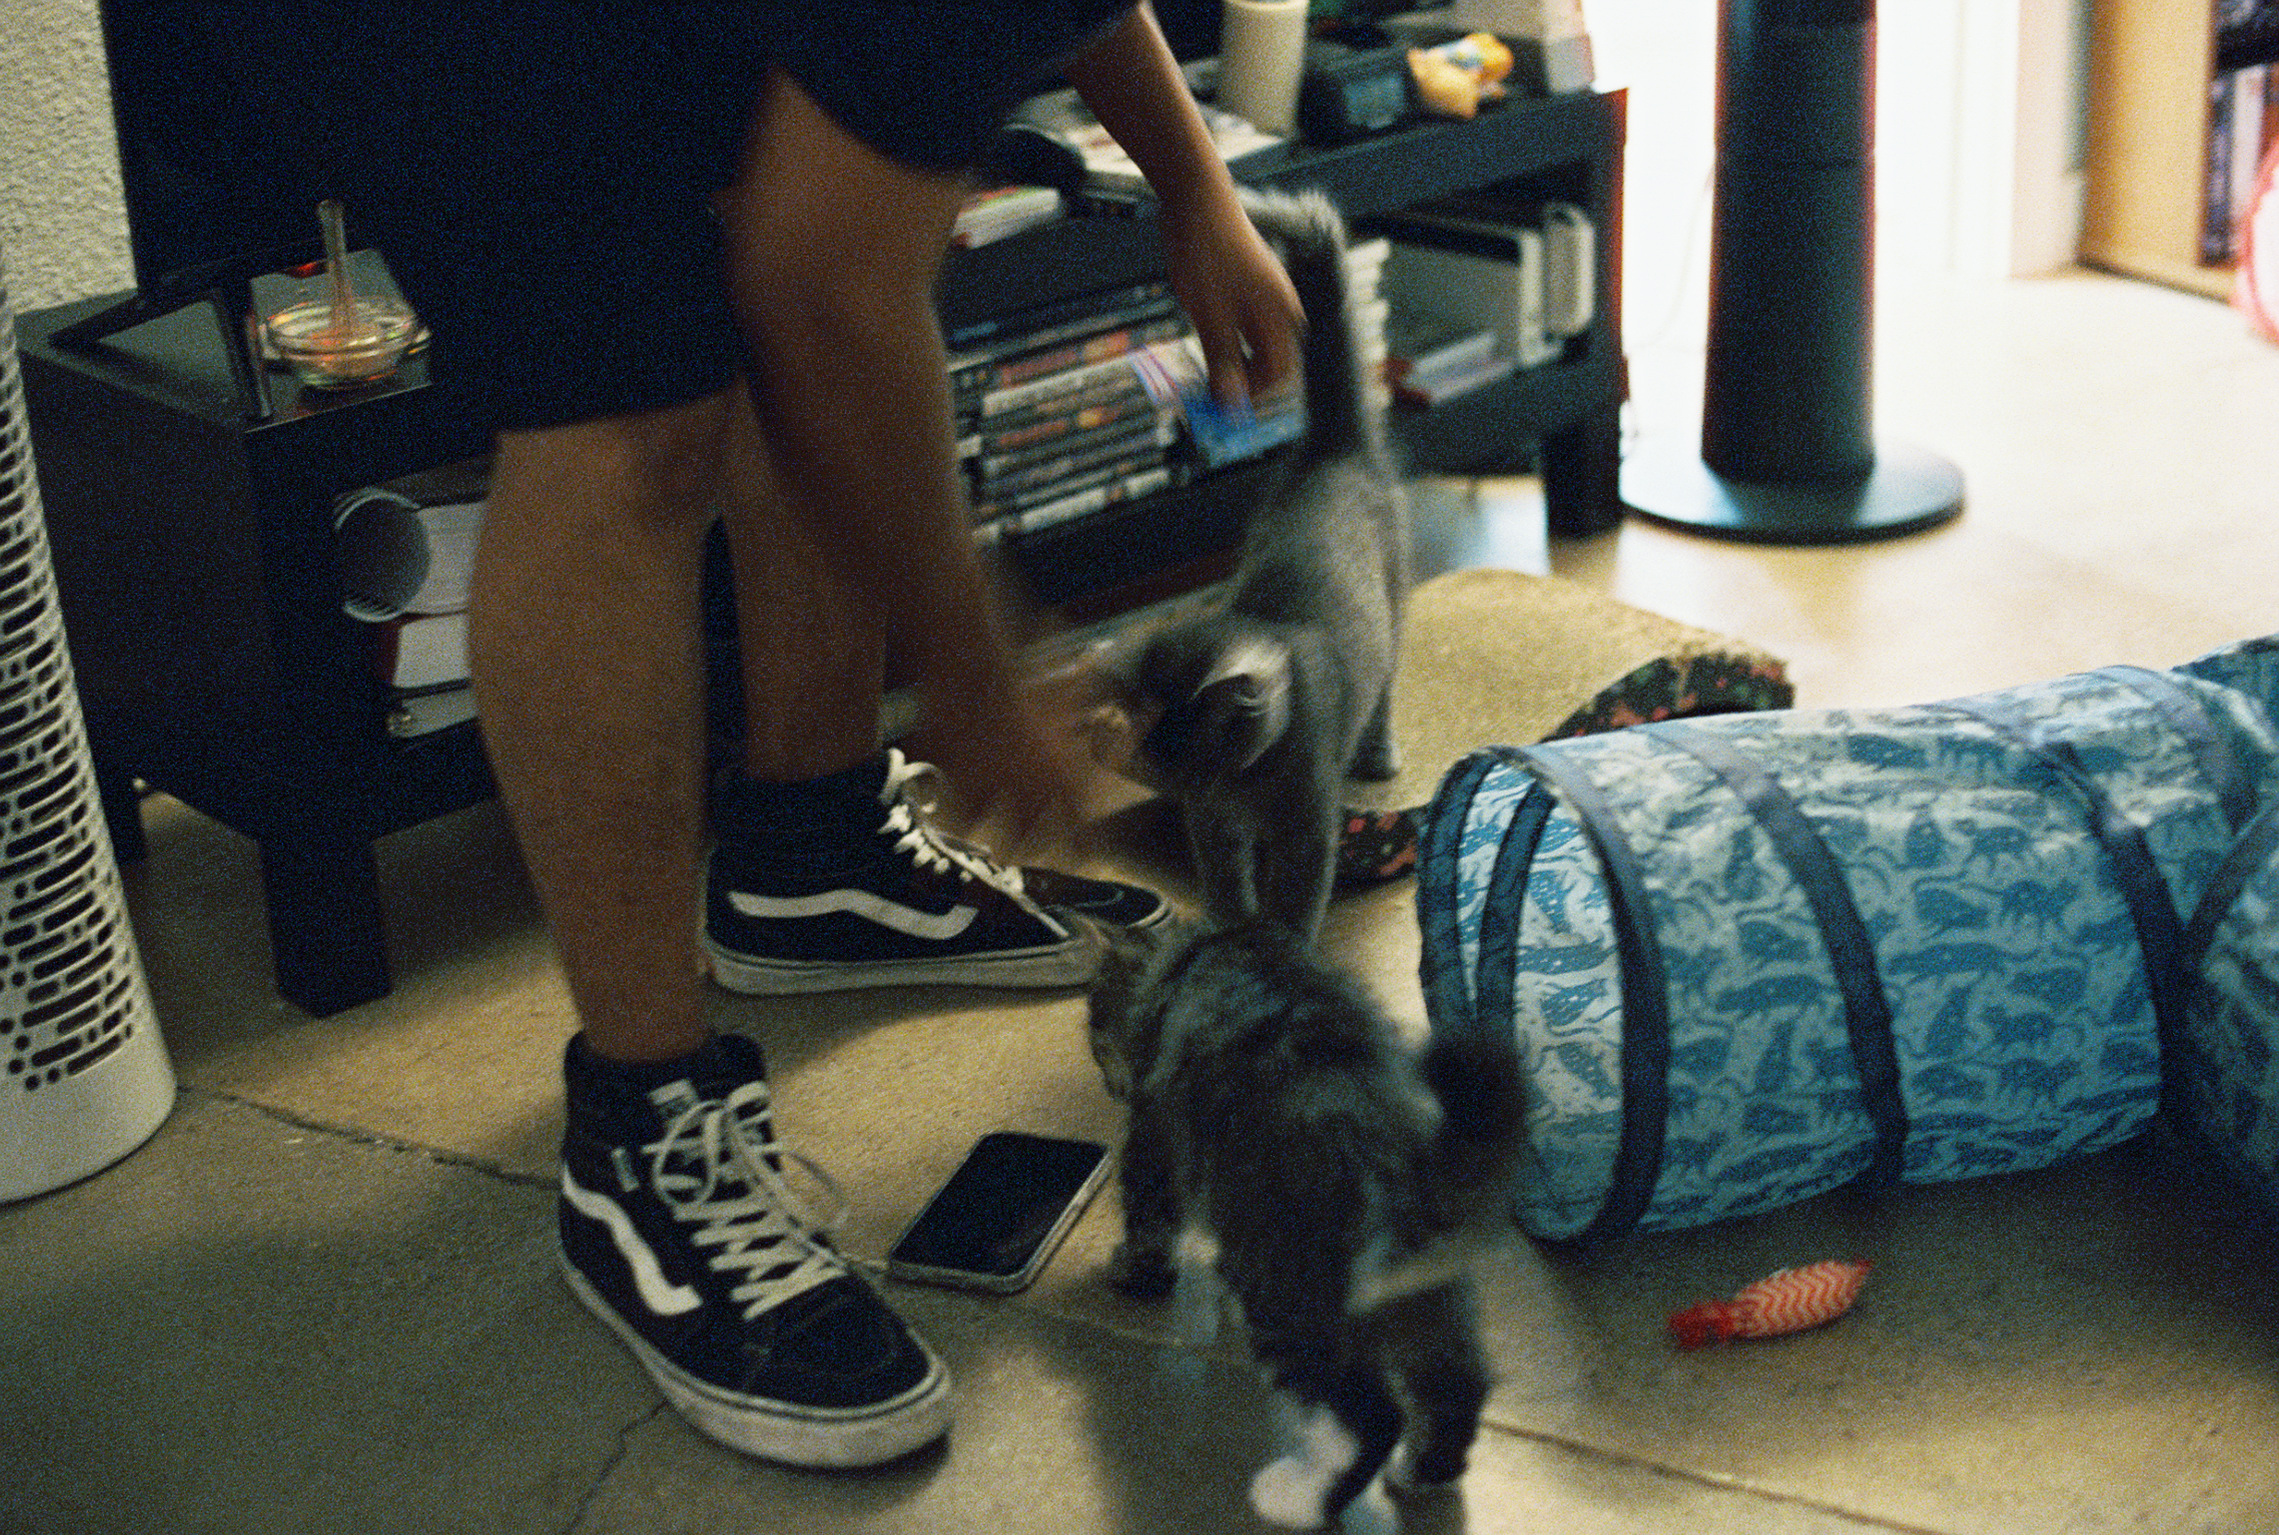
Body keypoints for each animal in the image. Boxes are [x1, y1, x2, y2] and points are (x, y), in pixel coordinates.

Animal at [1085, 917, 1526, 1530]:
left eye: (1095, 1033)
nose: (1107, 1083)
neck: (1189, 953)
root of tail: (1402, 1170)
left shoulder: (1155, 1137)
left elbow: (1147, 1217)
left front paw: (1132, 1272)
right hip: (1431, 1298)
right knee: (1457, 1383)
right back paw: (1422, 1474)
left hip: (1284, 1294)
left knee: (1374, 1415)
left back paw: (1296, 1499)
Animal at [1098, 186, 1410, 942]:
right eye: (1148, 740)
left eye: (1183, 744)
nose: (1168, 776)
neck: (1245, 787)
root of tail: (1332, 446)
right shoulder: (1215, 828)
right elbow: (1227, 886)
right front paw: (1231, 928)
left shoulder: (1307, 831)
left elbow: (1295, 900)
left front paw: (1280, 946)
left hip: (1394, 605)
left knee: (1386, 683)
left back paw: (1378, 755)